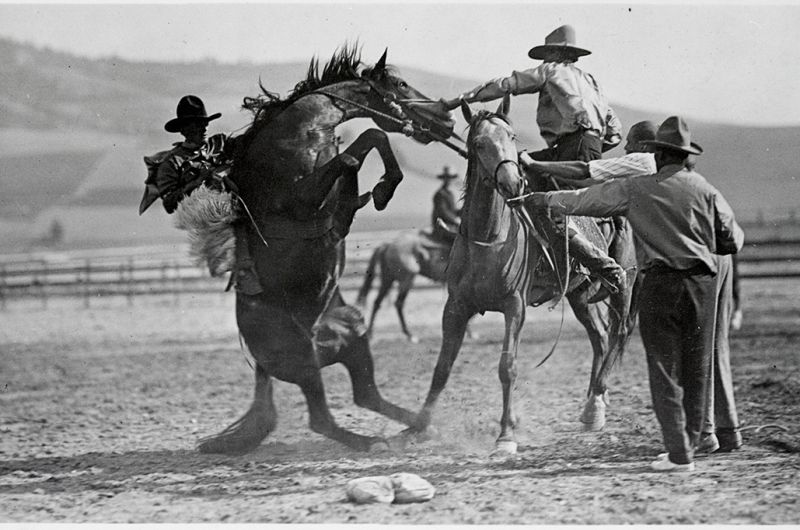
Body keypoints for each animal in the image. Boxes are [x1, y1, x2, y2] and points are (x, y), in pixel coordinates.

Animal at [196, 45, 457, 455]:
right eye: (400, 84)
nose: (447, 118)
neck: (304, 129)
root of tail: (260, 365)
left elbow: (367, 140)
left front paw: (373, 193)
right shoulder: (303, 196)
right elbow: (359, 146)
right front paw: (376, 193)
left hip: (354, 335)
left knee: (366, 396)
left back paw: (420, 427)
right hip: (303, 359)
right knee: (323, 419)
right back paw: (374, 442)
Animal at [399, 97, 638, 455]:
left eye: (511, 137)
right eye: (479, 143)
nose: (514, 183)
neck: (489, 239)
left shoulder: (515, 306)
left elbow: (507, 367)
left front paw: (506, 435)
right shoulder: (455, 307)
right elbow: (442, 368)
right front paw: (418, 426)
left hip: (624, 284)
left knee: (618, 331)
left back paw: (597, 400)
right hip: (579, 295)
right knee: (599, 337)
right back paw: (592, 407)